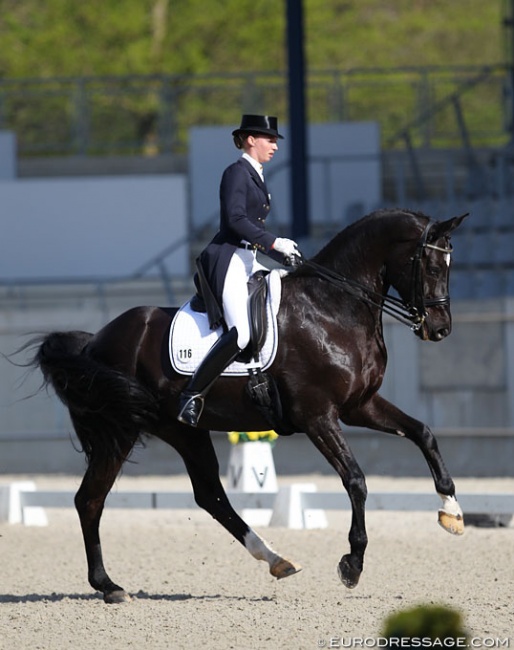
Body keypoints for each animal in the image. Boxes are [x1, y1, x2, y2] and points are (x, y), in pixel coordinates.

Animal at [30, 209, 466, 604]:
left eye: (449, 264)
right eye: (430, 265)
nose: (440, 329)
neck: (332, 309)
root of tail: (94, 341)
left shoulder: (359, 405)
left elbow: (423, 433)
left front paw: (452, 511)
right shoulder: (318, 416)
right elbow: (356, 480)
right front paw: (352, 564)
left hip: (183, 430)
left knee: (209, 496)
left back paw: (275, 559)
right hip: (120, 430)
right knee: (90, 500)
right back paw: (109, 586)